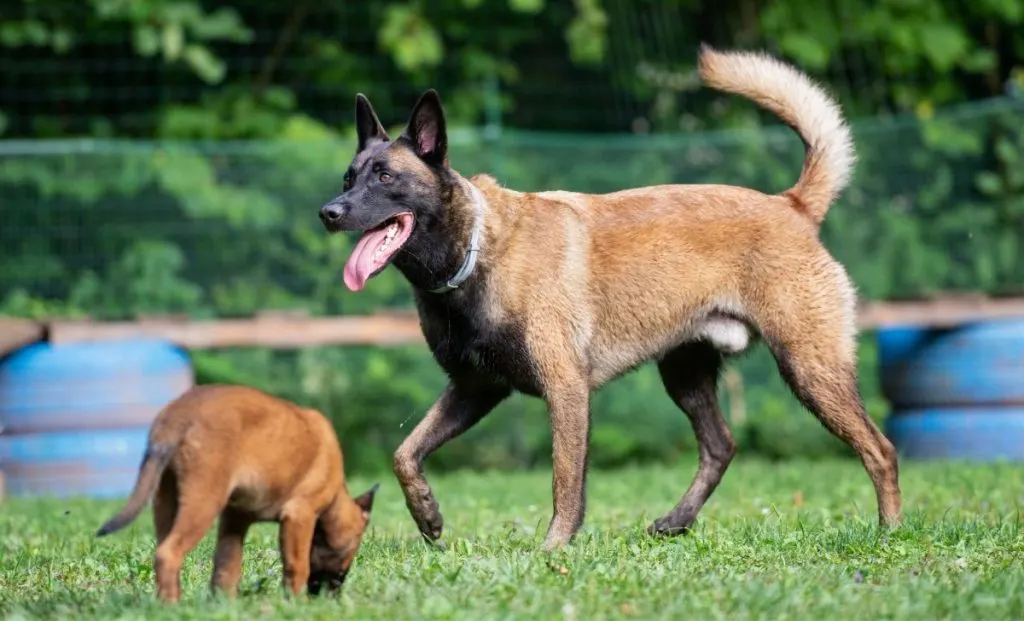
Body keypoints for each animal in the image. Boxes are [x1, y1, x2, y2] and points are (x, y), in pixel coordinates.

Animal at [94, 385, 376, 602]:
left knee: (162, 550)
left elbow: (226, 568)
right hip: (203, 502)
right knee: (168, 554)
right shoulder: (299, 516)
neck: (336, 496)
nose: (333, 594)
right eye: (355, 546)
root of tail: (177, 415)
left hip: (166, 500)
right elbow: (297, 567)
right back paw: (170, 607)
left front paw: (223, 605)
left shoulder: (235, 519)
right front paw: (296, 604)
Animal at [317, 43, 897, 553]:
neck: (479, 250)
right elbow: (404, 454)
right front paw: (428, 516)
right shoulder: (474, 389)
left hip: (810, 368)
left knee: (881, 449)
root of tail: (791, 205)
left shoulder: (566, 392)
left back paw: (889, 532)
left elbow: (565, 482)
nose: (329, 212)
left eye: (385, 177)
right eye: (348, 177)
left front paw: (554, 548)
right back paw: (677, 521)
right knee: (722, 446)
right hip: (686, 373)